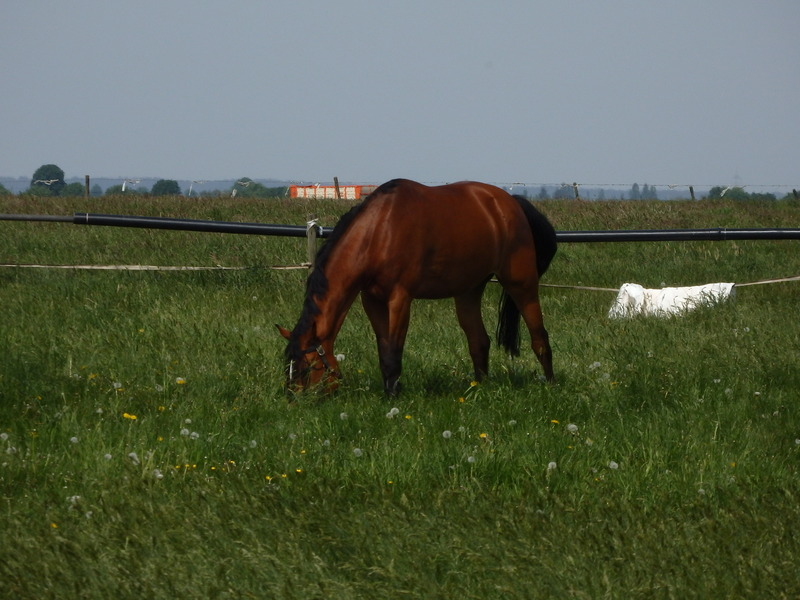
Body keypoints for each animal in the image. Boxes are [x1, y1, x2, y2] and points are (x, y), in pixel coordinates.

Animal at [278, 178, 560, 394]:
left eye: (308, 367)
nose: (295, 401)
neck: (380, 230)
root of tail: (510, 203)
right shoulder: (372, 300)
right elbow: (384, 350)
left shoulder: (400, 299)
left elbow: (393, 353)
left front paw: (393, 398)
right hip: (468, 291)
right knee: (479, 341)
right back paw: (479, 388)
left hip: (521, 284)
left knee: (540, 338)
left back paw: (551, 385)